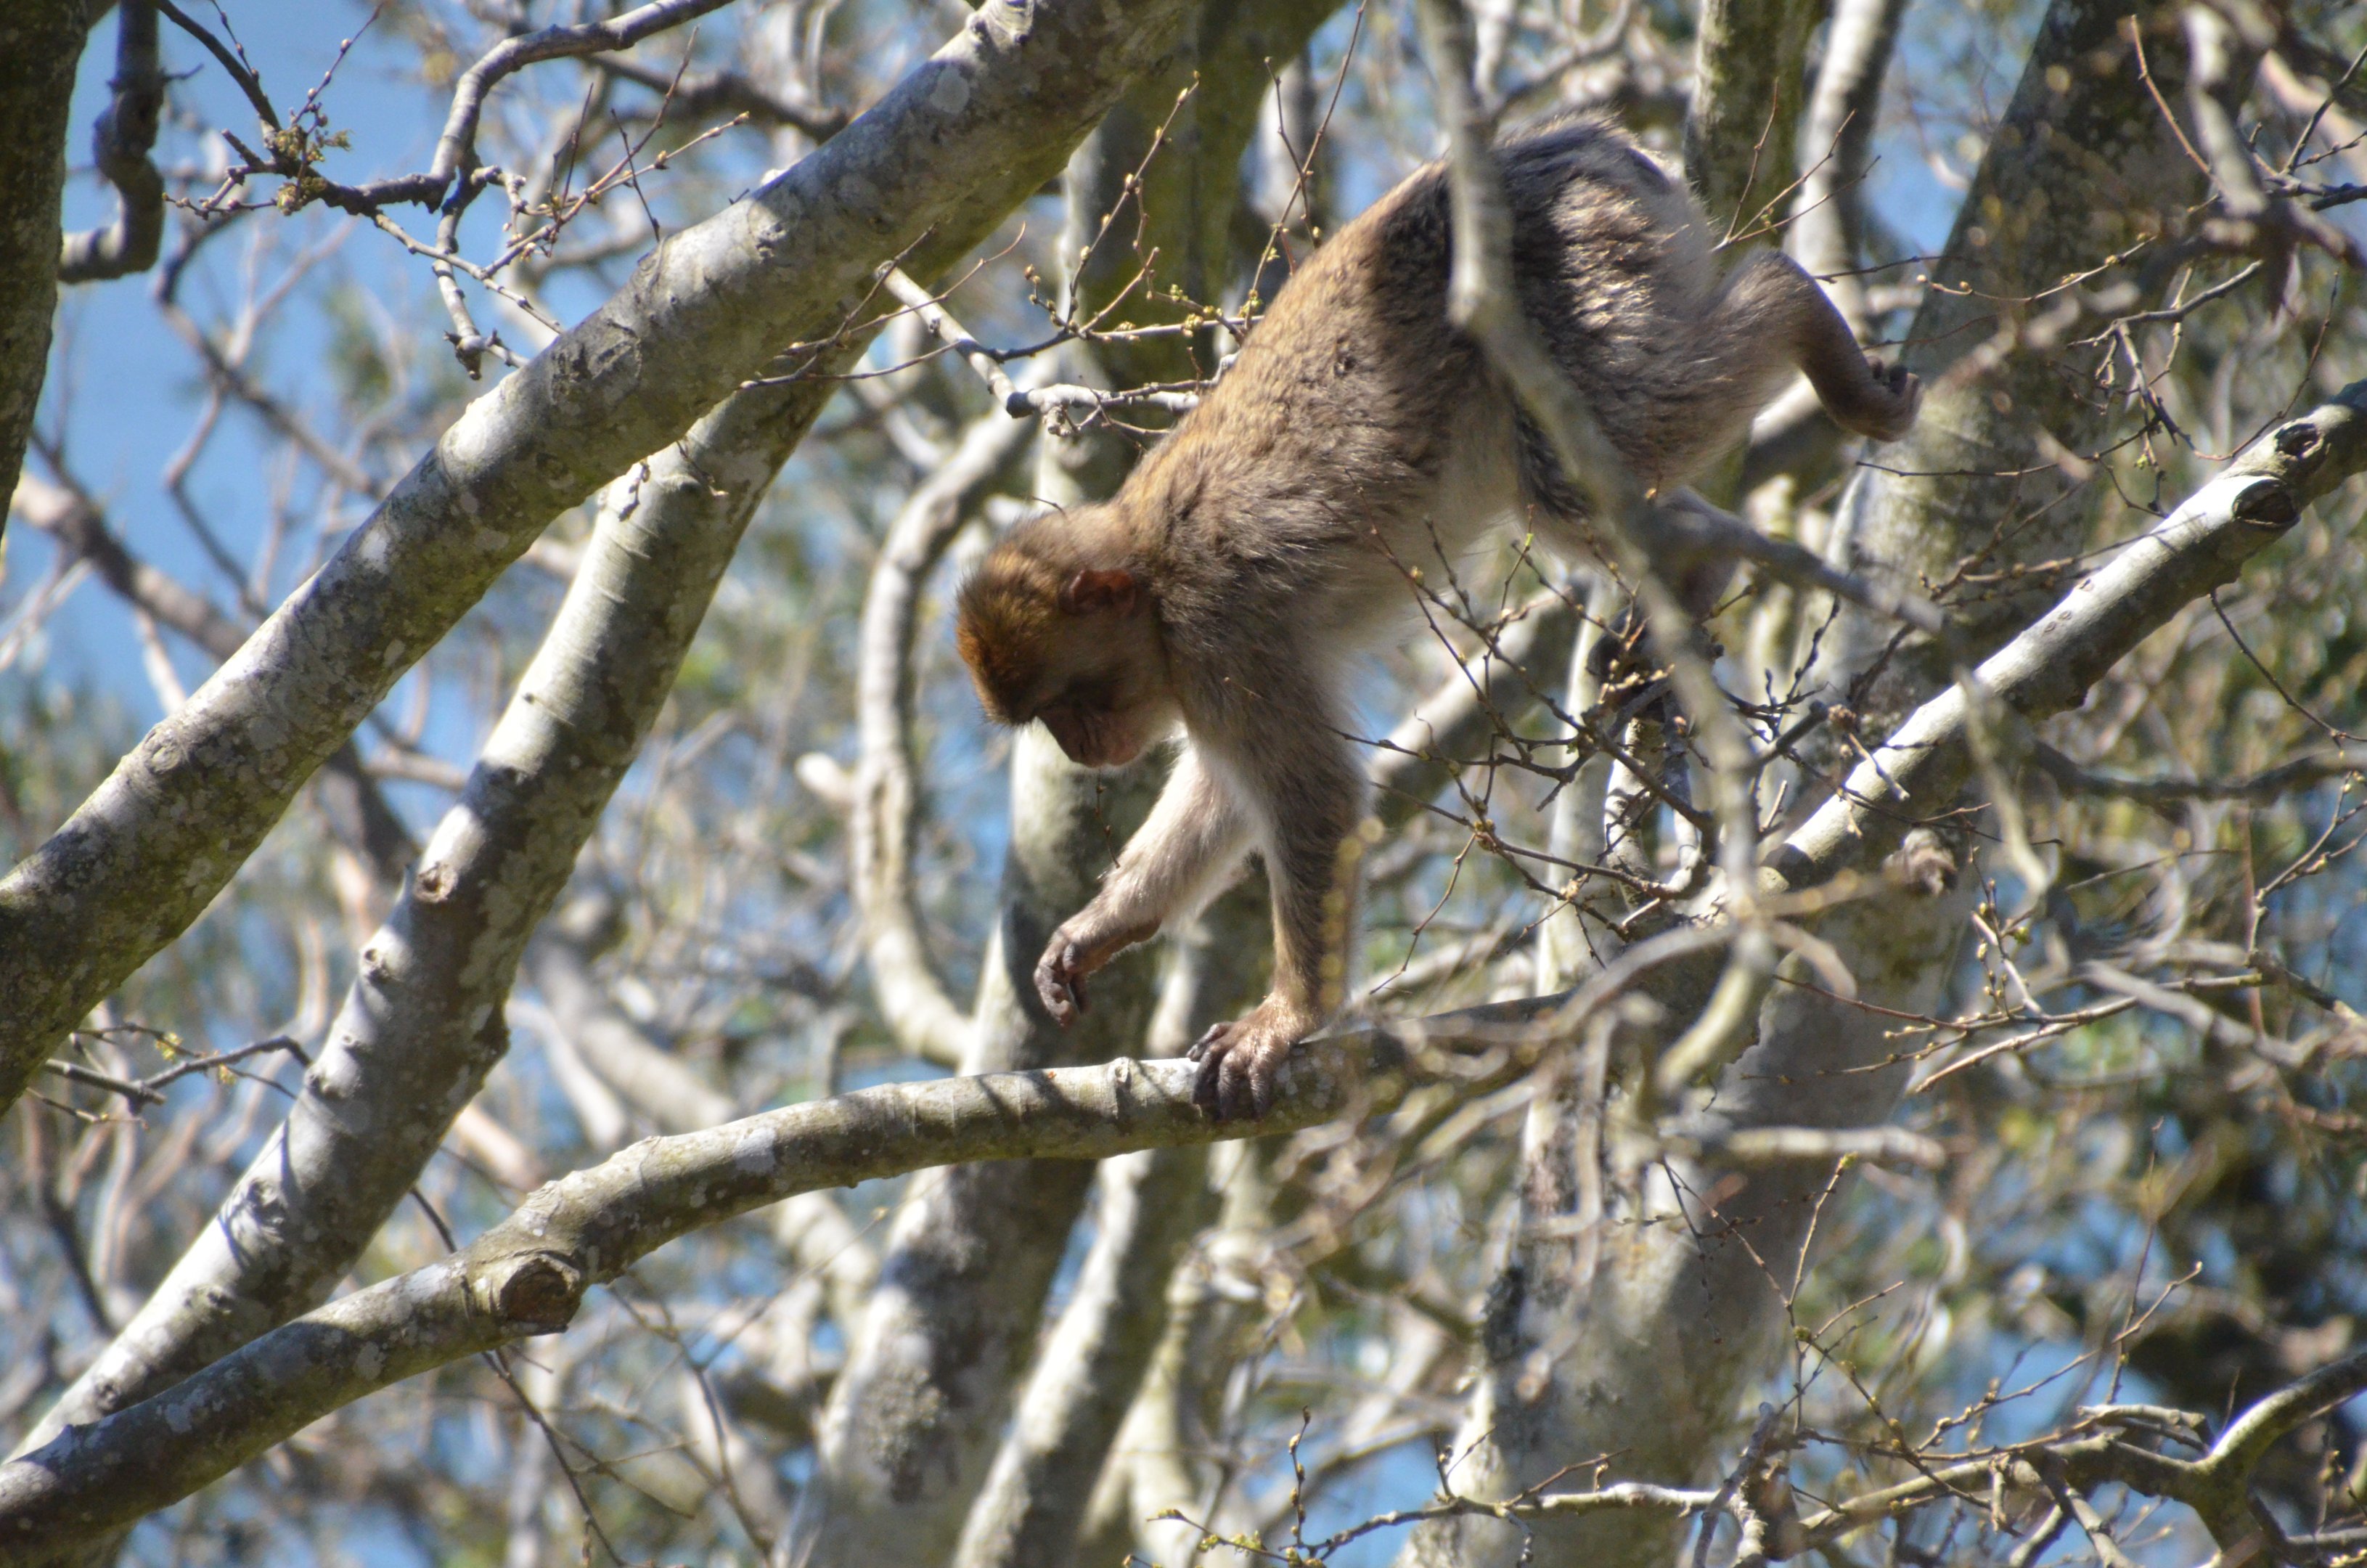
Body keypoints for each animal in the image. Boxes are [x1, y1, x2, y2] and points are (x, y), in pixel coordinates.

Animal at [955, 115, 1921, 1121]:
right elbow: (1224, 799)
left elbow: (1311, 797)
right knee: (1573, 485)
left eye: (1069, 708)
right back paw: (1694, 575)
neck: (1149, 566)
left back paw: (1798, 310)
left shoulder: (1220, 631)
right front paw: (1100, 928)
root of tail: (1577, 139)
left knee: (1597, 445)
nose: (1075, 751)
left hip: (1574, 274)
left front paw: (1287, 1020)